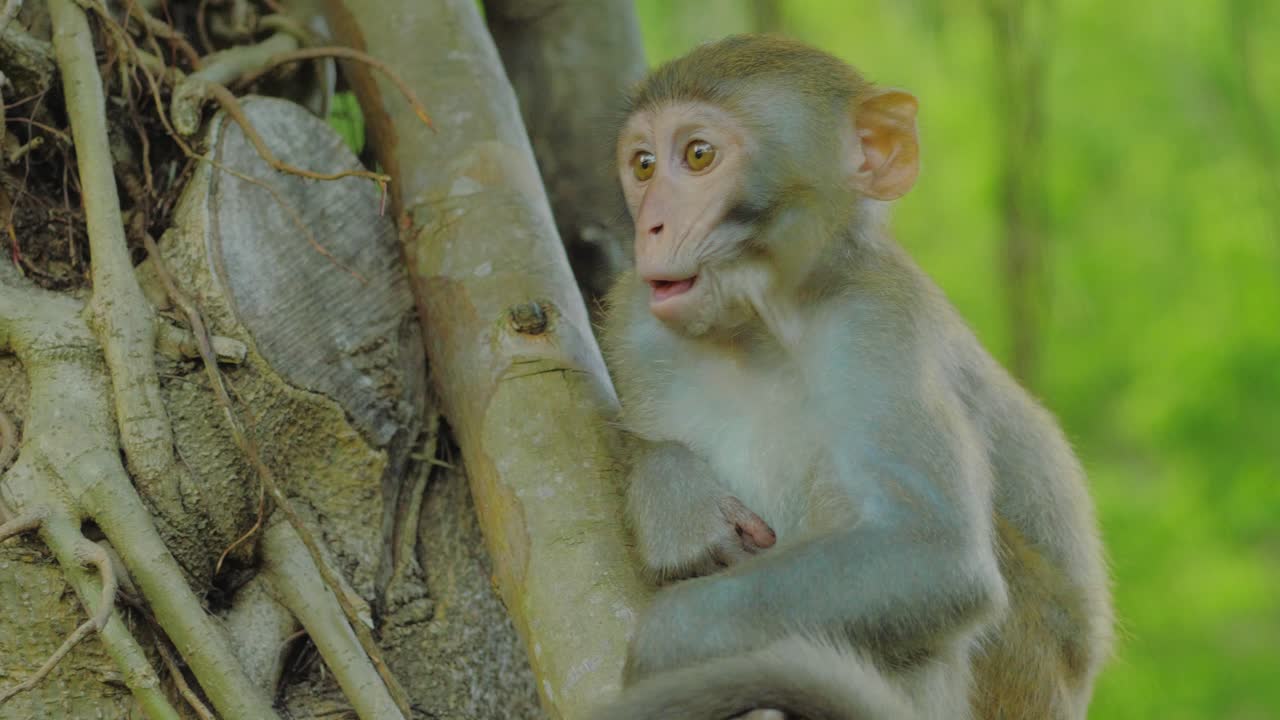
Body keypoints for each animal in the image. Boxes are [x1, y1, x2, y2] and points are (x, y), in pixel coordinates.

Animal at [590, 35, 1113, 720]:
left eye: (698, 155)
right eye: (644, 165)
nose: (651, 225)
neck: (758, 330)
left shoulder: (877, 320)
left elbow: (933, 556)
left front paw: (666, 644)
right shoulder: (636, 321)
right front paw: (673, 498)